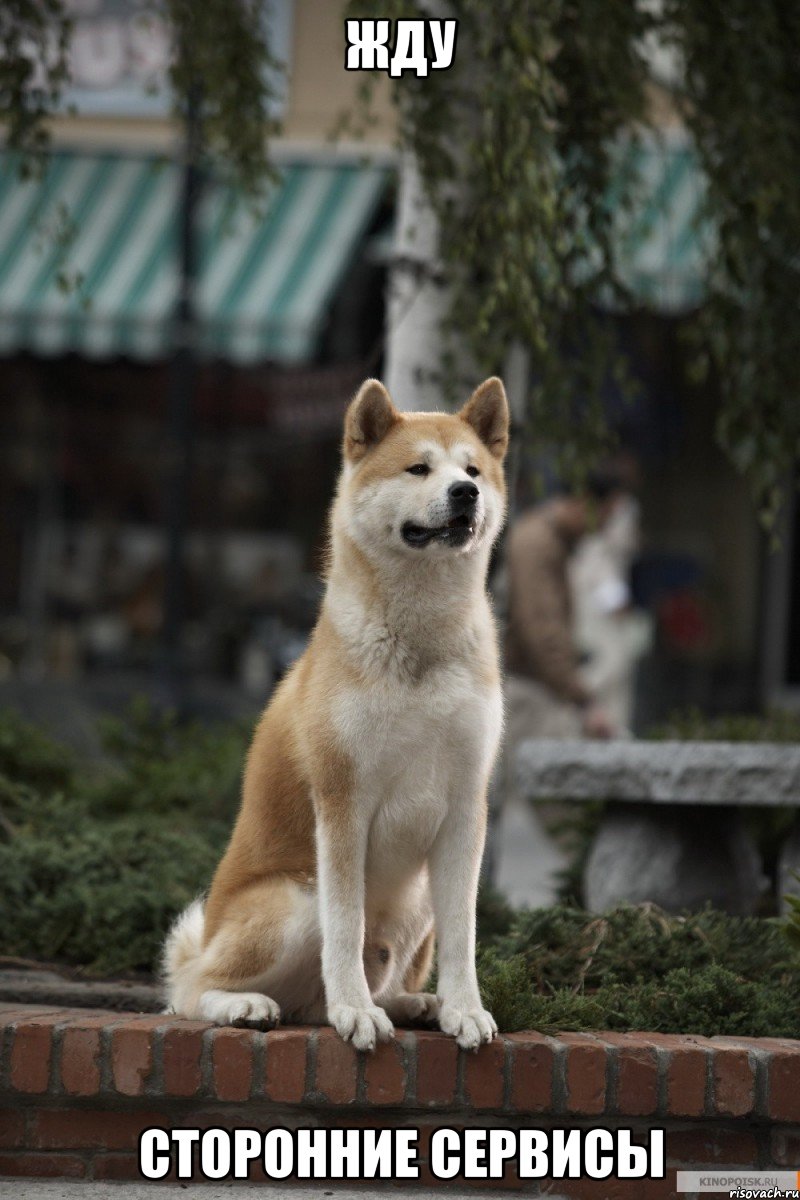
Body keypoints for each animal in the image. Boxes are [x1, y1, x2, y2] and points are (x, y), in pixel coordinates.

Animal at [165, 376, 510, 1051]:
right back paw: (250, 1005)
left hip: (417, 900)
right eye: (418, 468)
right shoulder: (343, 801)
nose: (466, 493)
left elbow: (465, 935)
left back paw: (415, 1004)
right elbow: (346, 928)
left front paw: (464, 1008)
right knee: (189, 990)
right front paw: (355, 1011)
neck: (420, 644)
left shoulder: (466, 806)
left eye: (473, 470)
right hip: (296, 900)